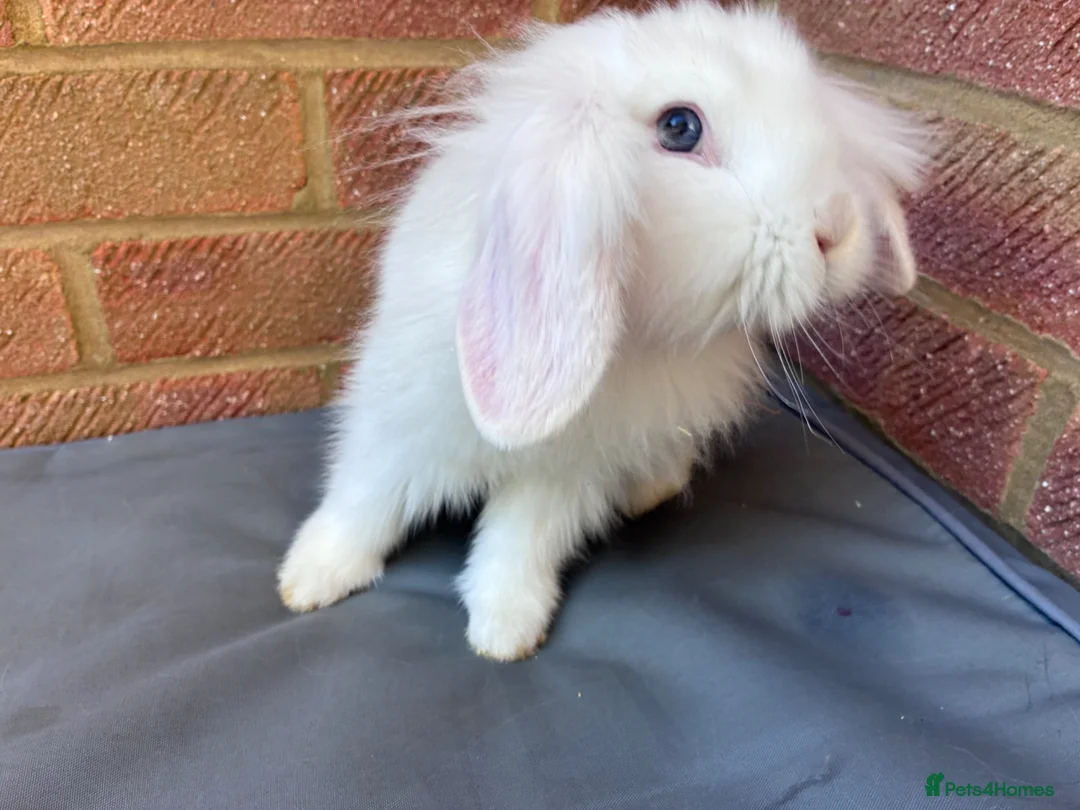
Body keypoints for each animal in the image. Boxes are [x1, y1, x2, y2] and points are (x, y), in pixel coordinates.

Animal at [276, 0, 931, 661]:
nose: (836, 228)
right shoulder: (398, 426)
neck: (634, 335)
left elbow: (518, 546)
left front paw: (506, 630)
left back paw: (652, 490)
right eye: (679, 127)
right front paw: (310, 578)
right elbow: (364, 502)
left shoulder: (565, 478)